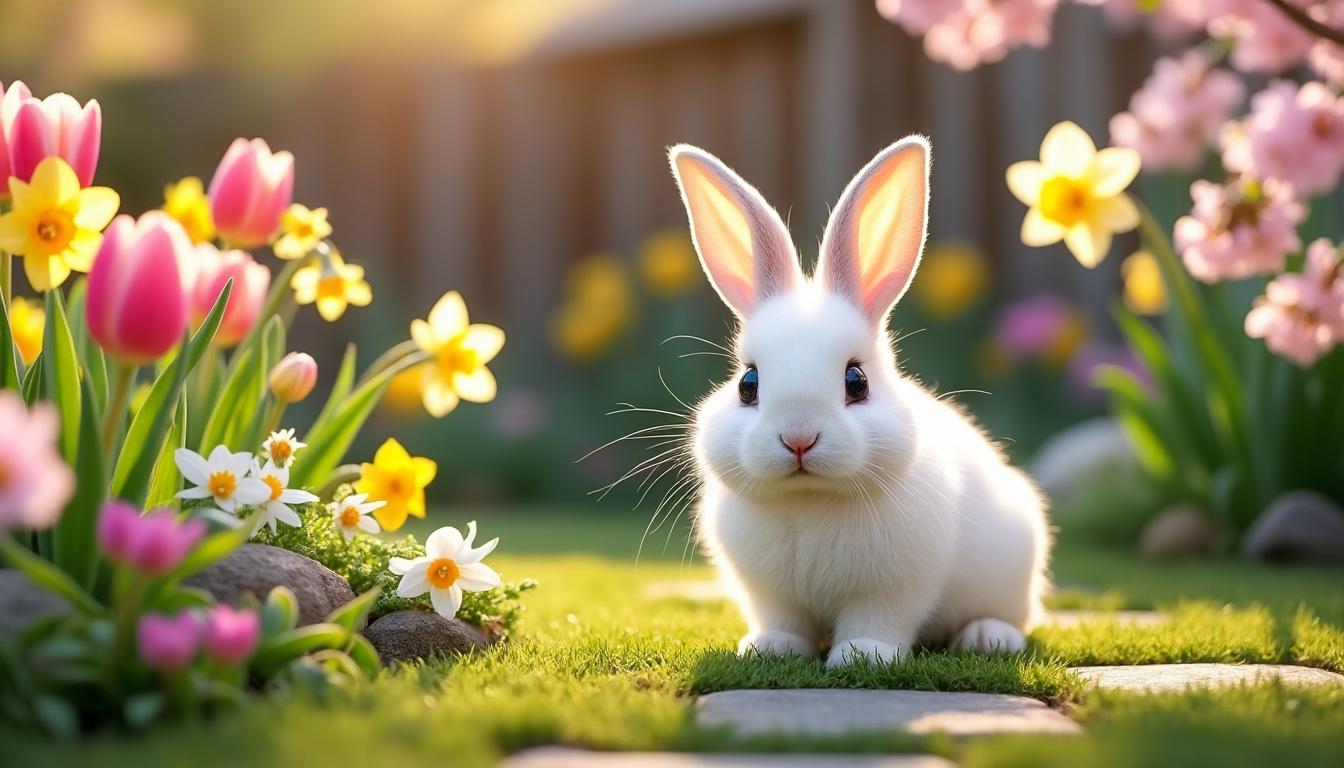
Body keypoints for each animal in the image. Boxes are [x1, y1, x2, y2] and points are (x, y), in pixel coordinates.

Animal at [667, 136, 1051, 667]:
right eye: (747, 384)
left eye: (857, 381)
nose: (799, 438)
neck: (810, 499)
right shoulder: (769, 593)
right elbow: (782, 620)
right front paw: (770, 648)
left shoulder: (894, 588)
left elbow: (879, 621)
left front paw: (862, 655)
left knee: (1011, 616)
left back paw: (986, 637)